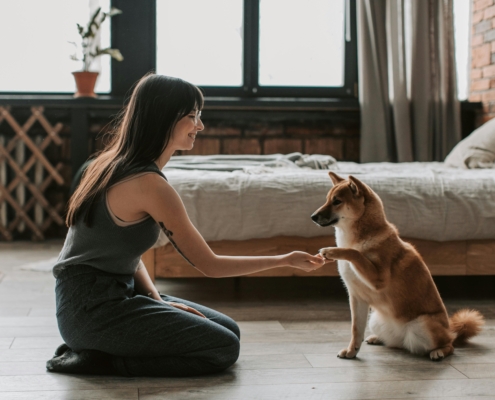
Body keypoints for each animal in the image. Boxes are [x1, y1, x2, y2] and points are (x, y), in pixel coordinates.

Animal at [312, 173, 482, 360]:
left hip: (424, 324)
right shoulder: (357, 297)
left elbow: (355, 253)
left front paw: (332, 251)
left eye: (337, 201)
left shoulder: (378, 278)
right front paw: (351, 351)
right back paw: (378, 338)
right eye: (327, 199)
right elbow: (356, 330)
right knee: (397, 343)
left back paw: (439, 351)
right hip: (375, 320)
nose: (313, 216)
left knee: (450, 345)